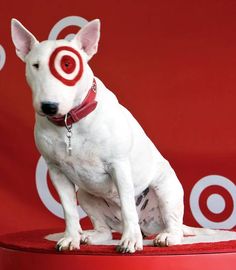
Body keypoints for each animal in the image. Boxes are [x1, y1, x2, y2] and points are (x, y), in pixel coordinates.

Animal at [11, 19, 232, 253]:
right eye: (35, 65)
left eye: (68, 66)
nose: (49, 106)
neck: (69, 123)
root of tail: (148, 226)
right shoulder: (56, 171)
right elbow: (69, 210)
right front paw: (71, 238)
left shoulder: (119, 165)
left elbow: (127, 206)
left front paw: (130, 241)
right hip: (85, 195)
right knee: (105, 230)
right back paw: (90, 236)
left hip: (166, 189)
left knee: (172, 226)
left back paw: (165, 236)